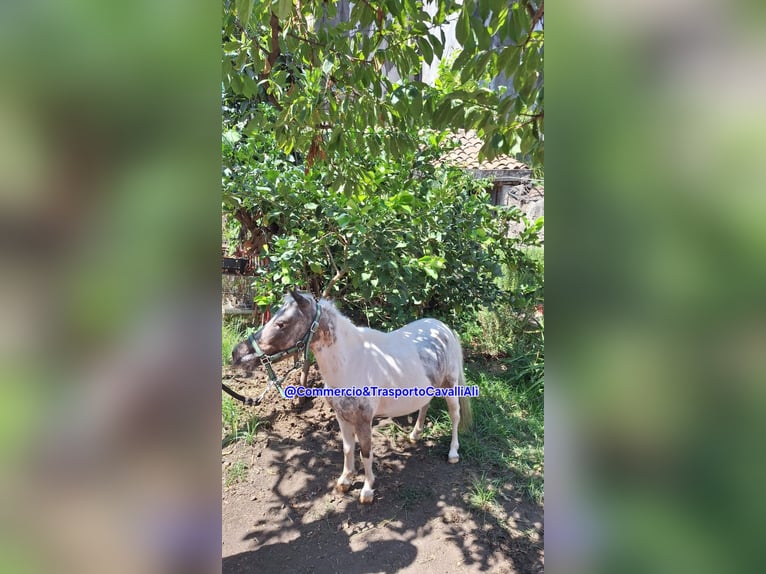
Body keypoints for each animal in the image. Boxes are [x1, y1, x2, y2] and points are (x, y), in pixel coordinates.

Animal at [231, 290, 473, 504]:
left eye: (281, 324)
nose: (237, 354)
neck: (351, 362)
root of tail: (443, 328)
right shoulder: (342, 416)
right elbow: (348, 448)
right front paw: (345, 481)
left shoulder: (364, 421)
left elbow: (366, 452)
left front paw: (367, 490)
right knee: (424, 406)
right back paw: (415, 435)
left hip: (450, 387)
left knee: (455, 417)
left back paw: (453, 453)